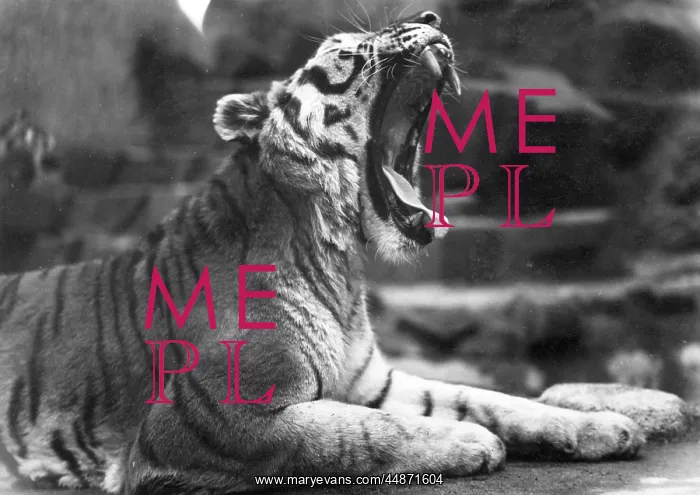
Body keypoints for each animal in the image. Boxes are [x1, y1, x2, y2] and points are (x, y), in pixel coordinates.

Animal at [0, 11, 645, 494]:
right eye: (348, 48)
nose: (431, 16)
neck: (337, 264)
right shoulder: (207, 418)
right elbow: (359, 432)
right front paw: (470, 441)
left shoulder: (372, 380)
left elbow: (484, 397)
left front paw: (605, 424)